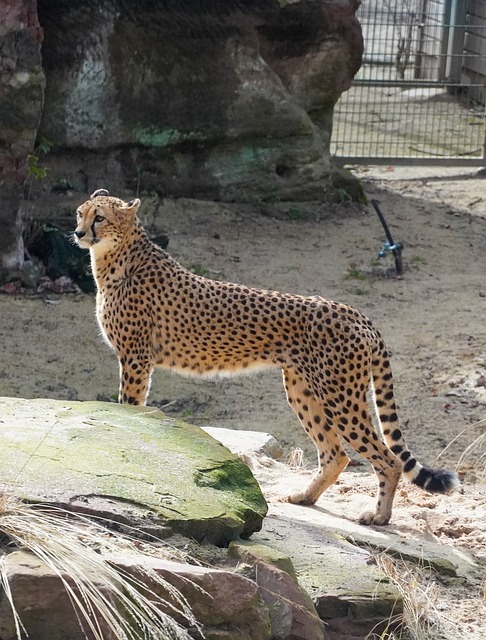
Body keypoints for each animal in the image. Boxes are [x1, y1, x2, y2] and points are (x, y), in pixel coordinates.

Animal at [74, 189, 458, 524]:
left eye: (100, 217)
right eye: (80, 213)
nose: (78, 233)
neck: (117, 255)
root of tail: (354, 312)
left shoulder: (135, 358)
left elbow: (128, 407)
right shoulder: (136, 358)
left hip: (341, 397)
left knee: (388, 459)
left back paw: (379, 515)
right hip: (303, 389)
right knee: (336, 454)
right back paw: (306, 497)